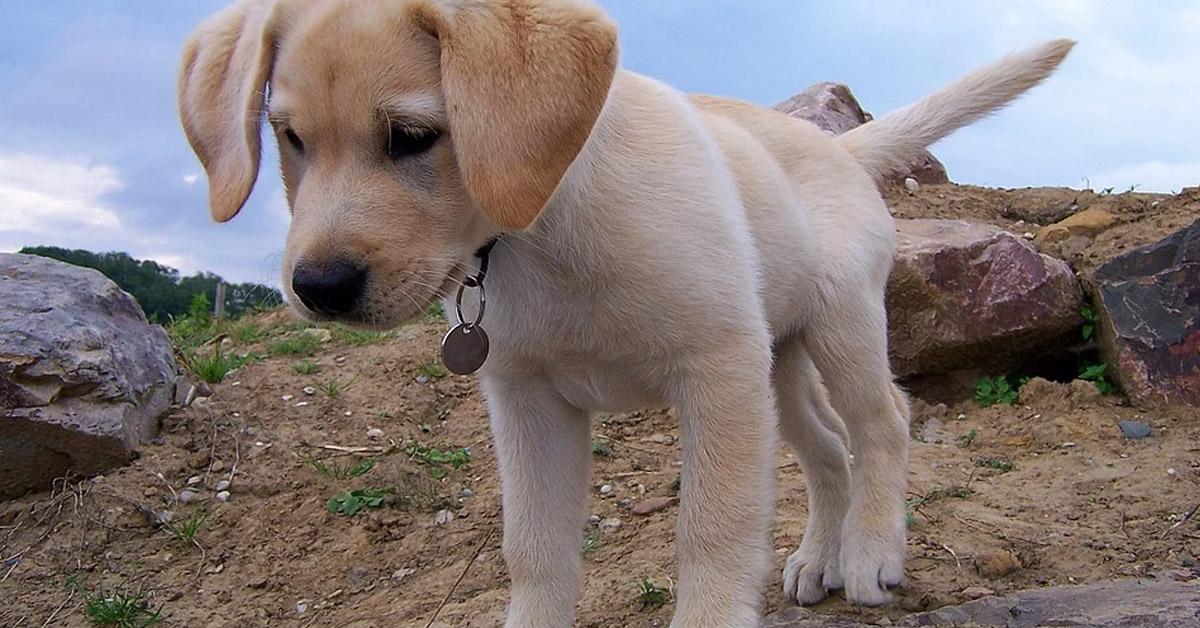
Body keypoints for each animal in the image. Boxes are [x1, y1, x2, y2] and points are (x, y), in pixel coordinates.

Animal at [175, 2, 1070, 624]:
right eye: (288, 137)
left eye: (412, 136)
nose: (319, 286)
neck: (540, 228)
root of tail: (836, 145)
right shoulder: (528, 402)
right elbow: (534, 551)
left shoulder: (715, 372)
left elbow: (711, 533)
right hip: (776, 362)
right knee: (824, 452)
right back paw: (821, 556)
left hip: (838, 326)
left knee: (883, 421)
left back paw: (873, 551)